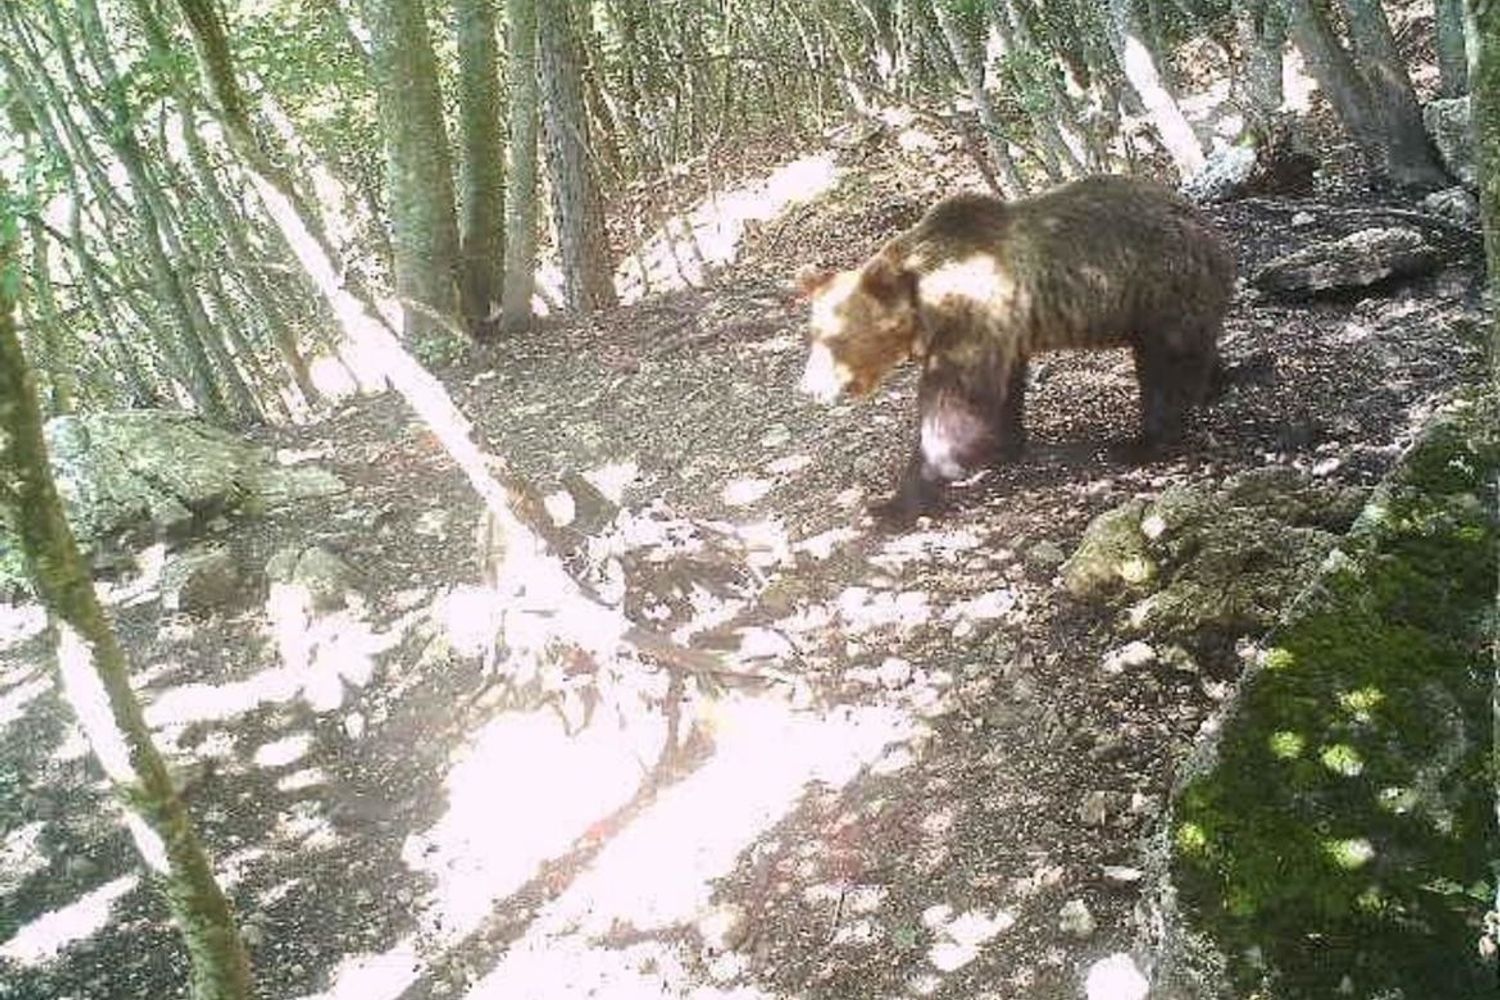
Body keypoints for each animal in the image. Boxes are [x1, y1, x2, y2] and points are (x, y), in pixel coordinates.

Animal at [797, 174, 1236, 521]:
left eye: (835, 338)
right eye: (813, 334)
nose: (809, 388)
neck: (927, 304)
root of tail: (1206, 225)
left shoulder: (970, 318)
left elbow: (955, 404)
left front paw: (900, 499)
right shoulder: (1003, 329)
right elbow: (1003, 389)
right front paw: (1003, 444)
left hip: (1158, 287)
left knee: (1167, 366)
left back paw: (1141, 442)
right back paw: (1218, 383)